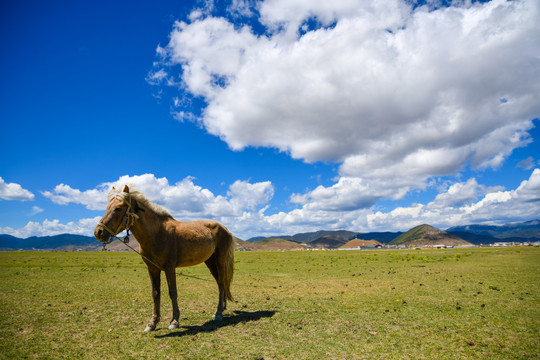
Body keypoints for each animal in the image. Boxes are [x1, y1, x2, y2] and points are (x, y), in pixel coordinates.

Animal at [94, 186, 233, 332]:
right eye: (107, 207)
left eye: (118, 208)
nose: (98, 232)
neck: (157, 233)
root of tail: (226, 229)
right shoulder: (152, 268)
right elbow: (155, 293)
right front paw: (152, 322)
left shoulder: (169, 267)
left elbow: (173, 292)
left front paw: (174, 321)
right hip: (210, 262)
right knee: (220, 282)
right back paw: (223, 308)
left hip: (220, 261)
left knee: (222, 283)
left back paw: (218, 313)